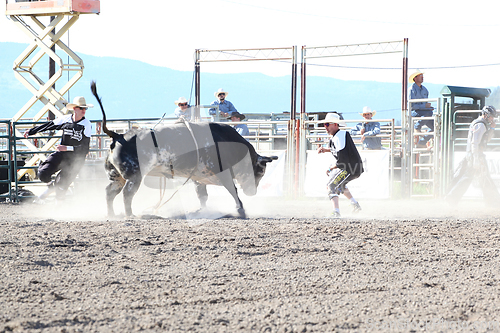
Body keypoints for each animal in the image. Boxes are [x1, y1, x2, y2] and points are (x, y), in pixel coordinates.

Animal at [90, 82, 278, 218]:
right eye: (261, 171)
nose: (252, 193)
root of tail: (118, 135)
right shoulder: (223, 173)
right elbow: (233, 191)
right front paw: (241, 210)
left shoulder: (199, 177)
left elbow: (203, 196)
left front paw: (203, 211)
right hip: (134, 176)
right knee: (127, 194)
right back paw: (130, 215)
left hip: (117, 176)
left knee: (110, 192)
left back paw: (112, 214)